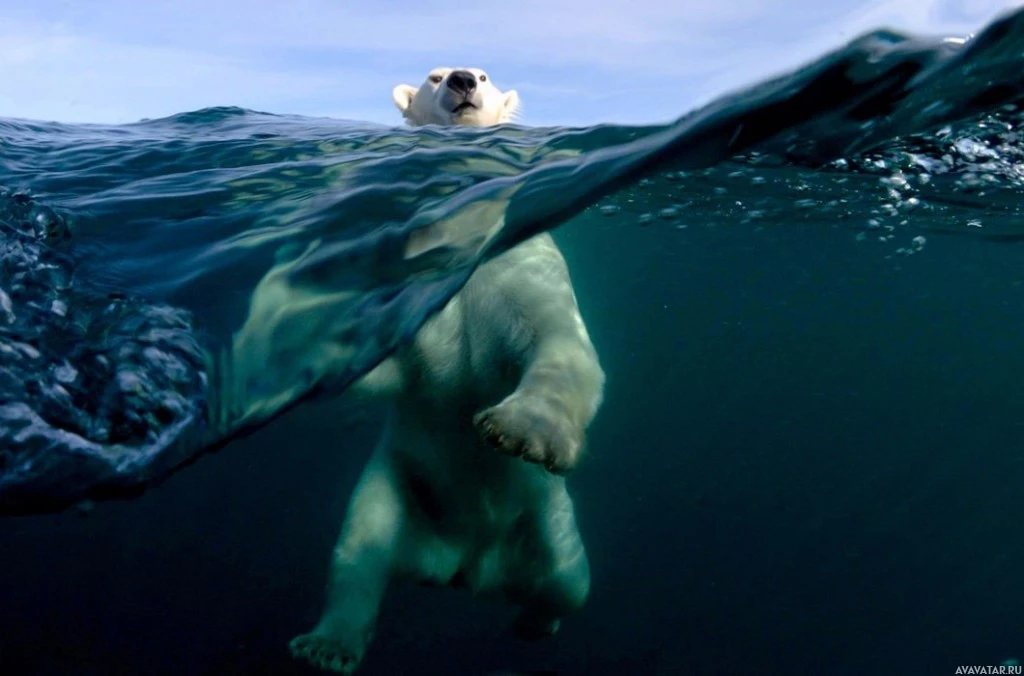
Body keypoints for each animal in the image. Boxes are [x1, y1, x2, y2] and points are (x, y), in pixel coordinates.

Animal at [288, 67, 602, 671]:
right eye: (433, 77)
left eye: (483, 75)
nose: (460, 81)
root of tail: (466, 566)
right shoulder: (413, 279)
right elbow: (388, 368)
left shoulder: (519, 263)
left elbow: (558, 340)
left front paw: (522, 430)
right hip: (397, 485)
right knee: (360, 550)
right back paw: (326, 645)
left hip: (546, 520)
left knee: (568, 581)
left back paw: (534, 622)